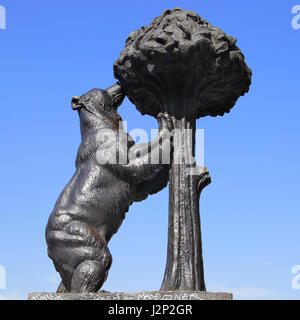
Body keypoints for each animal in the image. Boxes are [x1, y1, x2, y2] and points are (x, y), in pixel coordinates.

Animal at [46, 82, 173, 292]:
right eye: (103, 88)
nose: (119, 83)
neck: (103, 124)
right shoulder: (109, 148)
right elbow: (136, 164)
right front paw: (165, 124)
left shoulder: (132, 185)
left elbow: (143, 187)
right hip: (76, 233)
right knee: (96, 260)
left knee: (67, 277)